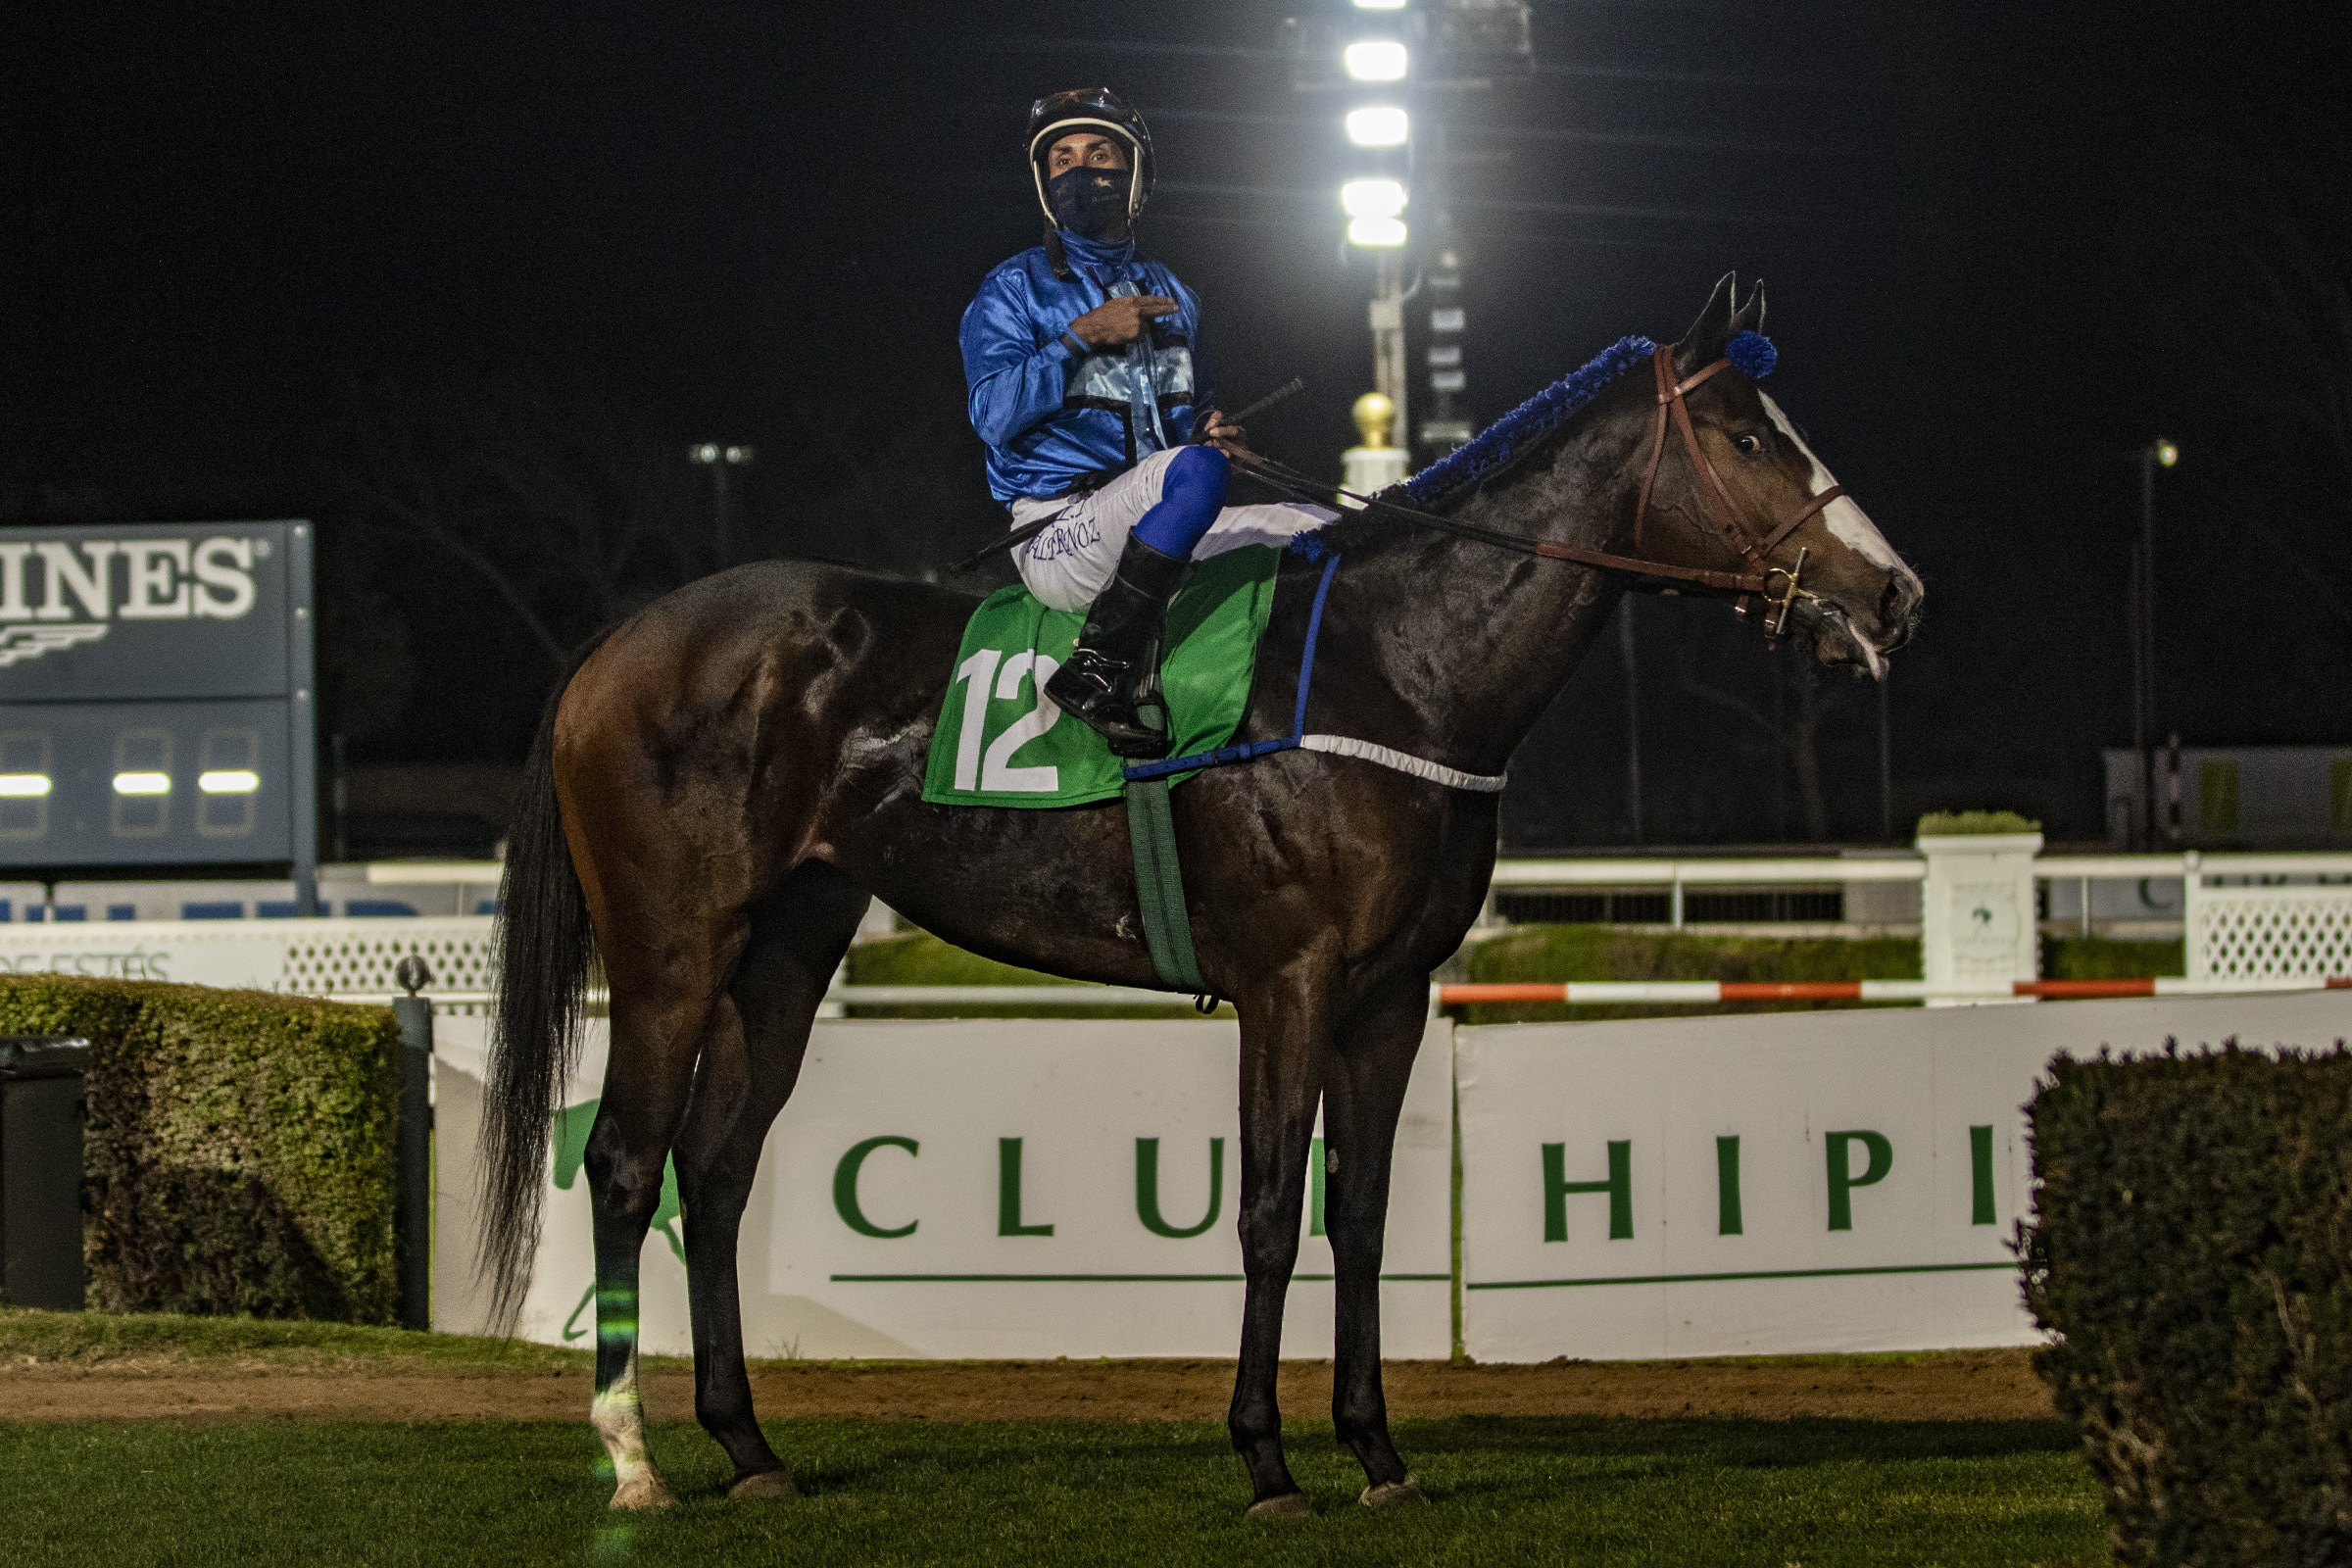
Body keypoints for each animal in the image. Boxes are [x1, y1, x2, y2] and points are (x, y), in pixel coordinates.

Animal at [481, 274, 1925, 1515]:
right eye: (1749, 436)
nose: (1894, 595)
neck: (1398, 667)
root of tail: (614, 646)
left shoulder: (1391, 998)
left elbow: (1361, 1218)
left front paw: (1377, 1452)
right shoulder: (1289, 982)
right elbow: (1274, 1213)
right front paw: (1268, 1459)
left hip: (786, 946)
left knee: (716, 1173)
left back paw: (748, 1446)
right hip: (672, 949)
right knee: (624, 1164)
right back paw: (633, 1459)